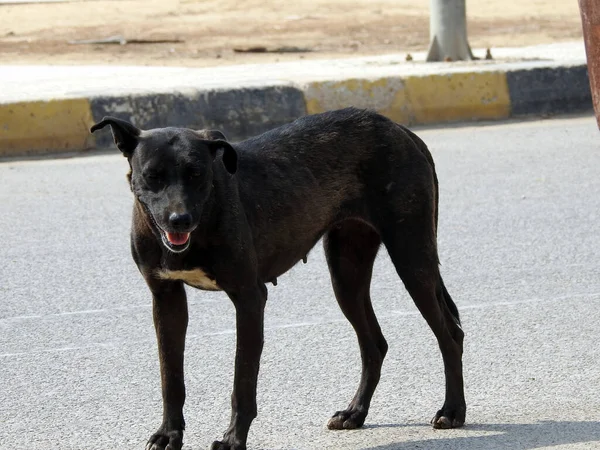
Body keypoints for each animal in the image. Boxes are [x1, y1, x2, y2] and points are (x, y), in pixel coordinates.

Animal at [90, 107, 464, 448]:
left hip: (412, 259)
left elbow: (242, 379)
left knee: (450, 334)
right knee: (375, 344)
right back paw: (355, 412)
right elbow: (171, 378)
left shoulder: (249, 298)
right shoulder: (166, 299)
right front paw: (169, 434)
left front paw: (233, 439)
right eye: (153, 175)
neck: (206, 215)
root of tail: (401, 130)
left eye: (196, 174)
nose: (179, 220)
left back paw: (452, 410)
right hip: (347, 273)